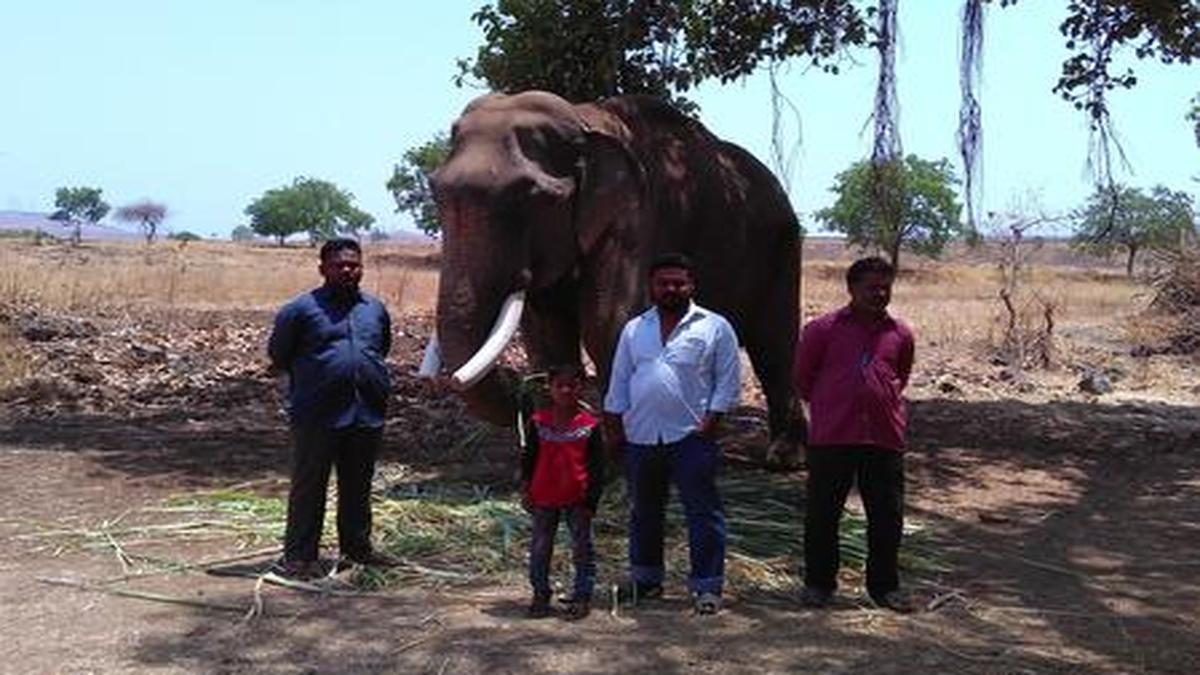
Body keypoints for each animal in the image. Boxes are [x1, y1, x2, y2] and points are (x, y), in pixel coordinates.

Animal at [423, 90, 801, 447]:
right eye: (434, 190)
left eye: (531, 197)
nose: (518, 382)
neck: (584, 119)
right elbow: (545, 332)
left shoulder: (635, 218)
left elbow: (608, 322)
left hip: (782, 243)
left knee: (775, 346)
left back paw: (781, 455)